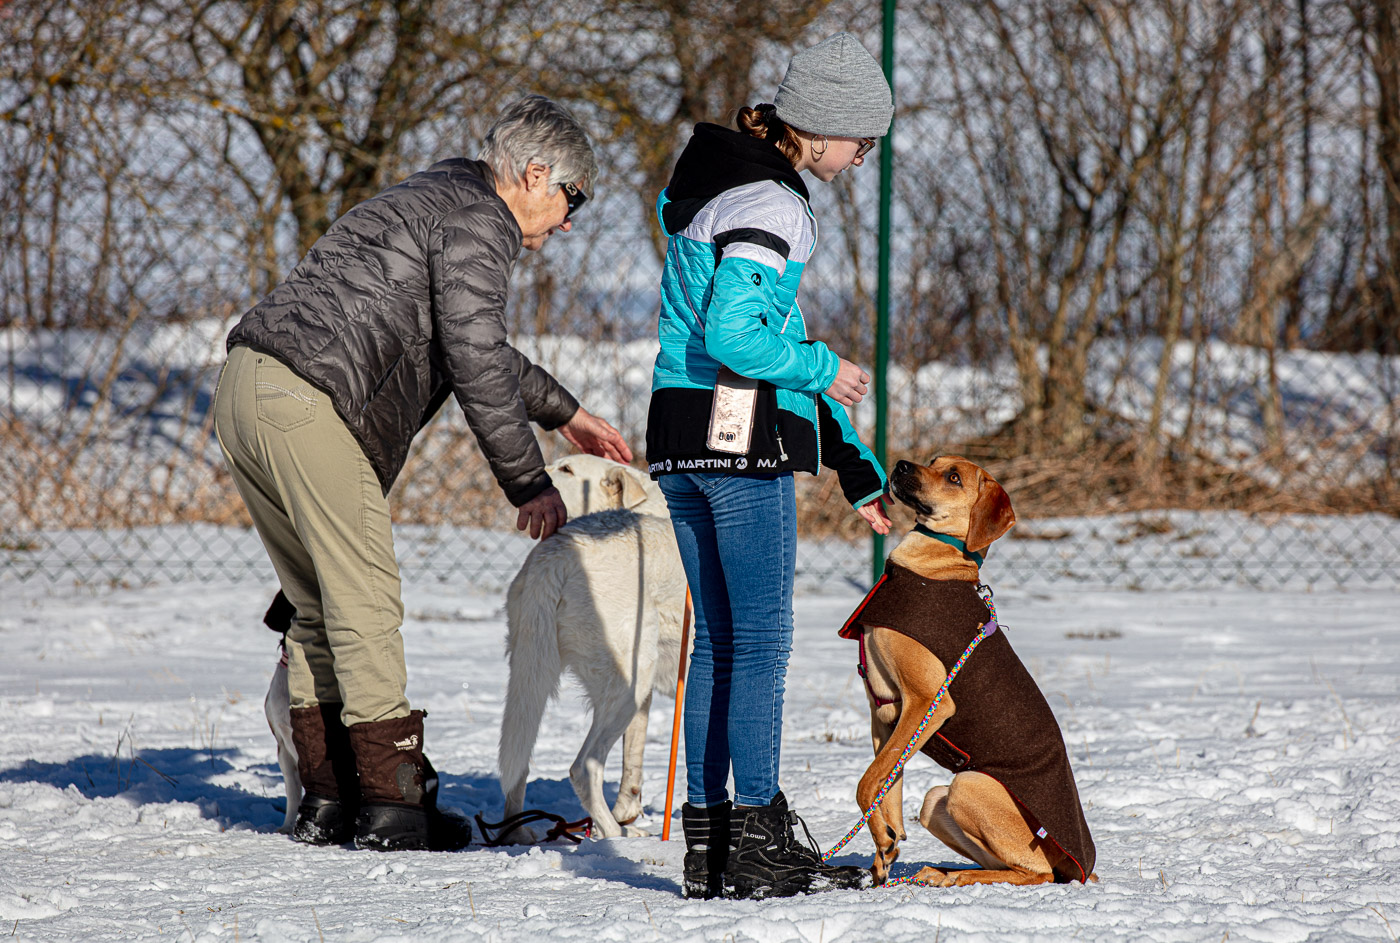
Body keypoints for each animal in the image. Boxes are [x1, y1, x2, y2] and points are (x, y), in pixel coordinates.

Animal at [498, 456, 688, 839]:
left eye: (566, 469)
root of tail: (557, 555)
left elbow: (633, 760)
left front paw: (628, 812)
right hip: (630, 682)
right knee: (583, 768)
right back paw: (614, 837)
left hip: (534, 672)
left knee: (518, 762)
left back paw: (520, 835)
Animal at [840, 456, 1092, 889]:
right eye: (934, 461)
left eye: (954, 478)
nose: (901, 464)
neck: (937, 565)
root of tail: (1076, 866)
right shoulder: (885, 709)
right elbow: (886, 784)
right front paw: (885, 846)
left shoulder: (926, 703)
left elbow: (867, 782)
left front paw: (884, 842)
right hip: (935, 801)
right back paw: (937, 872)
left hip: (969, 786)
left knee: (1036, 873)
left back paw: (955, 877)